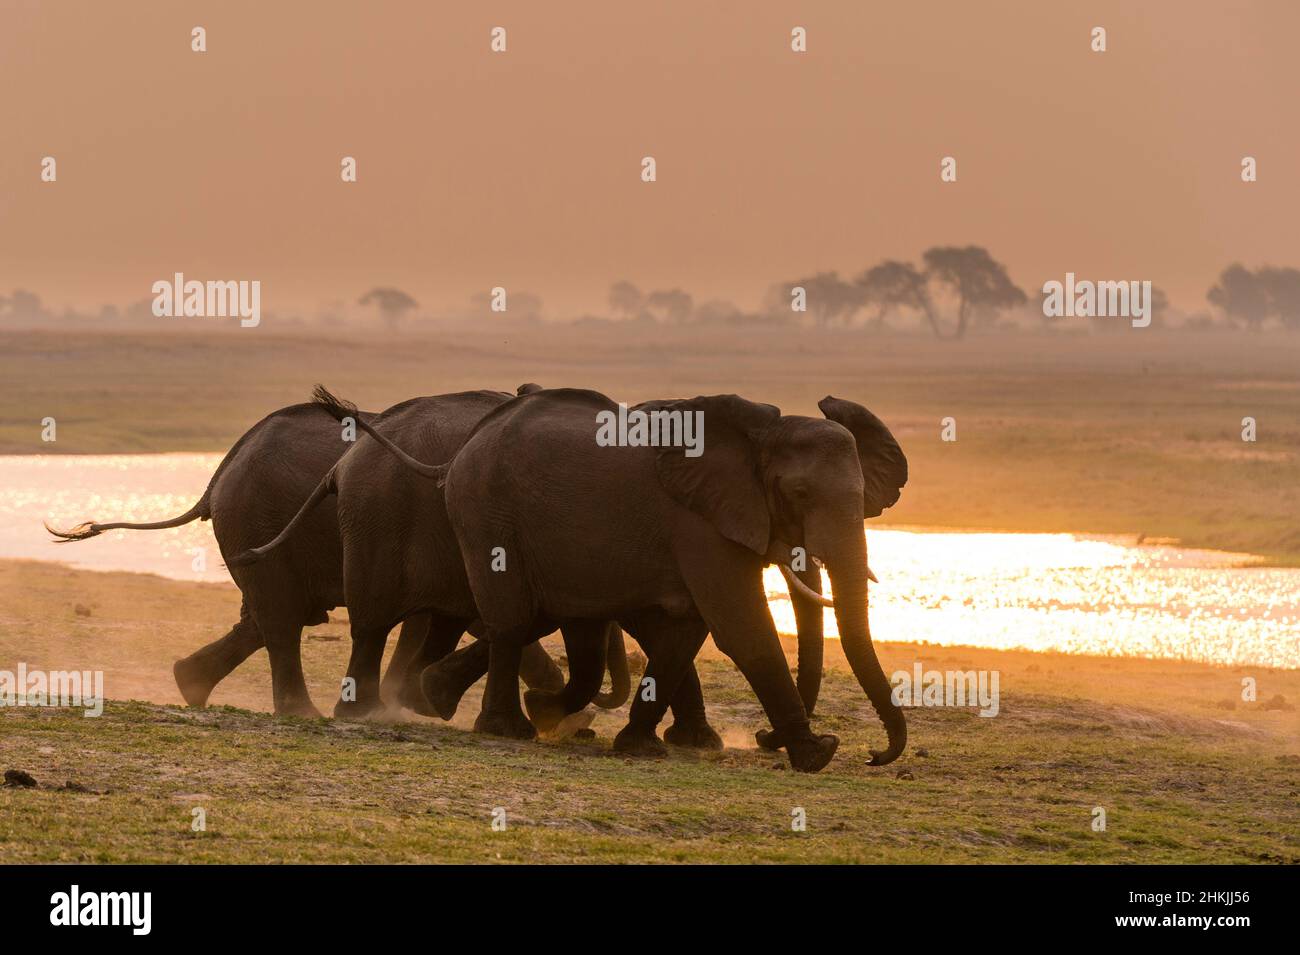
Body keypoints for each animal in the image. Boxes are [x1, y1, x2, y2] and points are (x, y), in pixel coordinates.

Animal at [45, 393, 581, 716]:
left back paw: (190, 685)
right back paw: (300, 712)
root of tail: (221, 471)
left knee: (265, 618)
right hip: (255, 515)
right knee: (281, 619)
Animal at [422, 388, 908, 772]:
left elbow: (686, 631)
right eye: (799, 494)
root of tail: (471, 440)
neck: (762, 435)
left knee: (551, 619)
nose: (874, 756)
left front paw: (641, 748)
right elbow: (741, 628)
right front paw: (817, 755)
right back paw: (507, 727)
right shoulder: (699, 523)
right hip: (486, 510)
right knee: (513, 619)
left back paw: (467, 699)